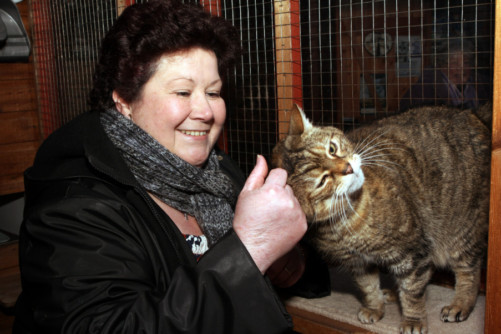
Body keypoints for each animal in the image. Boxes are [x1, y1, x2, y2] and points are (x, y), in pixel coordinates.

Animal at [274, 105, 488, 334]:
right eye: (322, 181)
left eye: (331, 149)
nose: (348, 168)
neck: (347, 223)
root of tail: (472, 114)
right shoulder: (358, 263)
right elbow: (368, 287)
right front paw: (374, 307)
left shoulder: (412, 253)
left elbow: (412, 292)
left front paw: (413, 320)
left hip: (462, 230)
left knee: (470, 272)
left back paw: (461, 304)